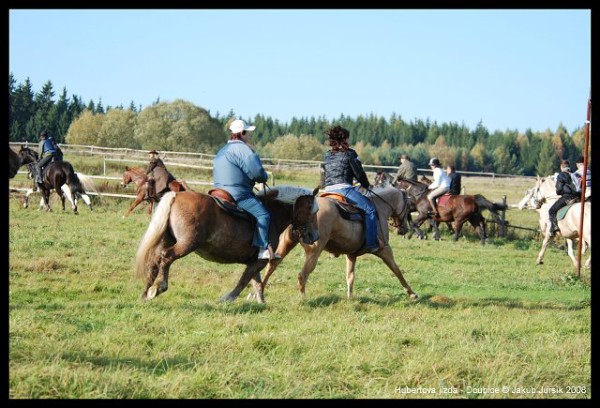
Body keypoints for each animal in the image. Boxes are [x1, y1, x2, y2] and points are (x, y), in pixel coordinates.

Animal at [134, 185, 322, 302]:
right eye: (311, 210)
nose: (314, 236)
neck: (273, 213)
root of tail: (176, 195)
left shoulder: (255, 261)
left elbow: (256, 282)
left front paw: (261, 302)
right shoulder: (260, 261)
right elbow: (244, 281)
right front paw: (228, 298)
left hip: (167, 240)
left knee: (154, 261)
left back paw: (145, 292)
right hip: (186, 244)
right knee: (166, 257)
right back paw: (159, 287)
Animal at [260, 185, 420, 300]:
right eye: (408, 206)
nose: (403, 229)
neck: (379, 209)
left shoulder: (351, 255)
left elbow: (350, 276)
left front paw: (350, 297)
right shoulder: (385, 250)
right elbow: (397, 271)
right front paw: (412, 293)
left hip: (286, 243)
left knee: (271, 265)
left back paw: (259, 293)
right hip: (314, 251)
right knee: (302, 275)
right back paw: (302, 298)